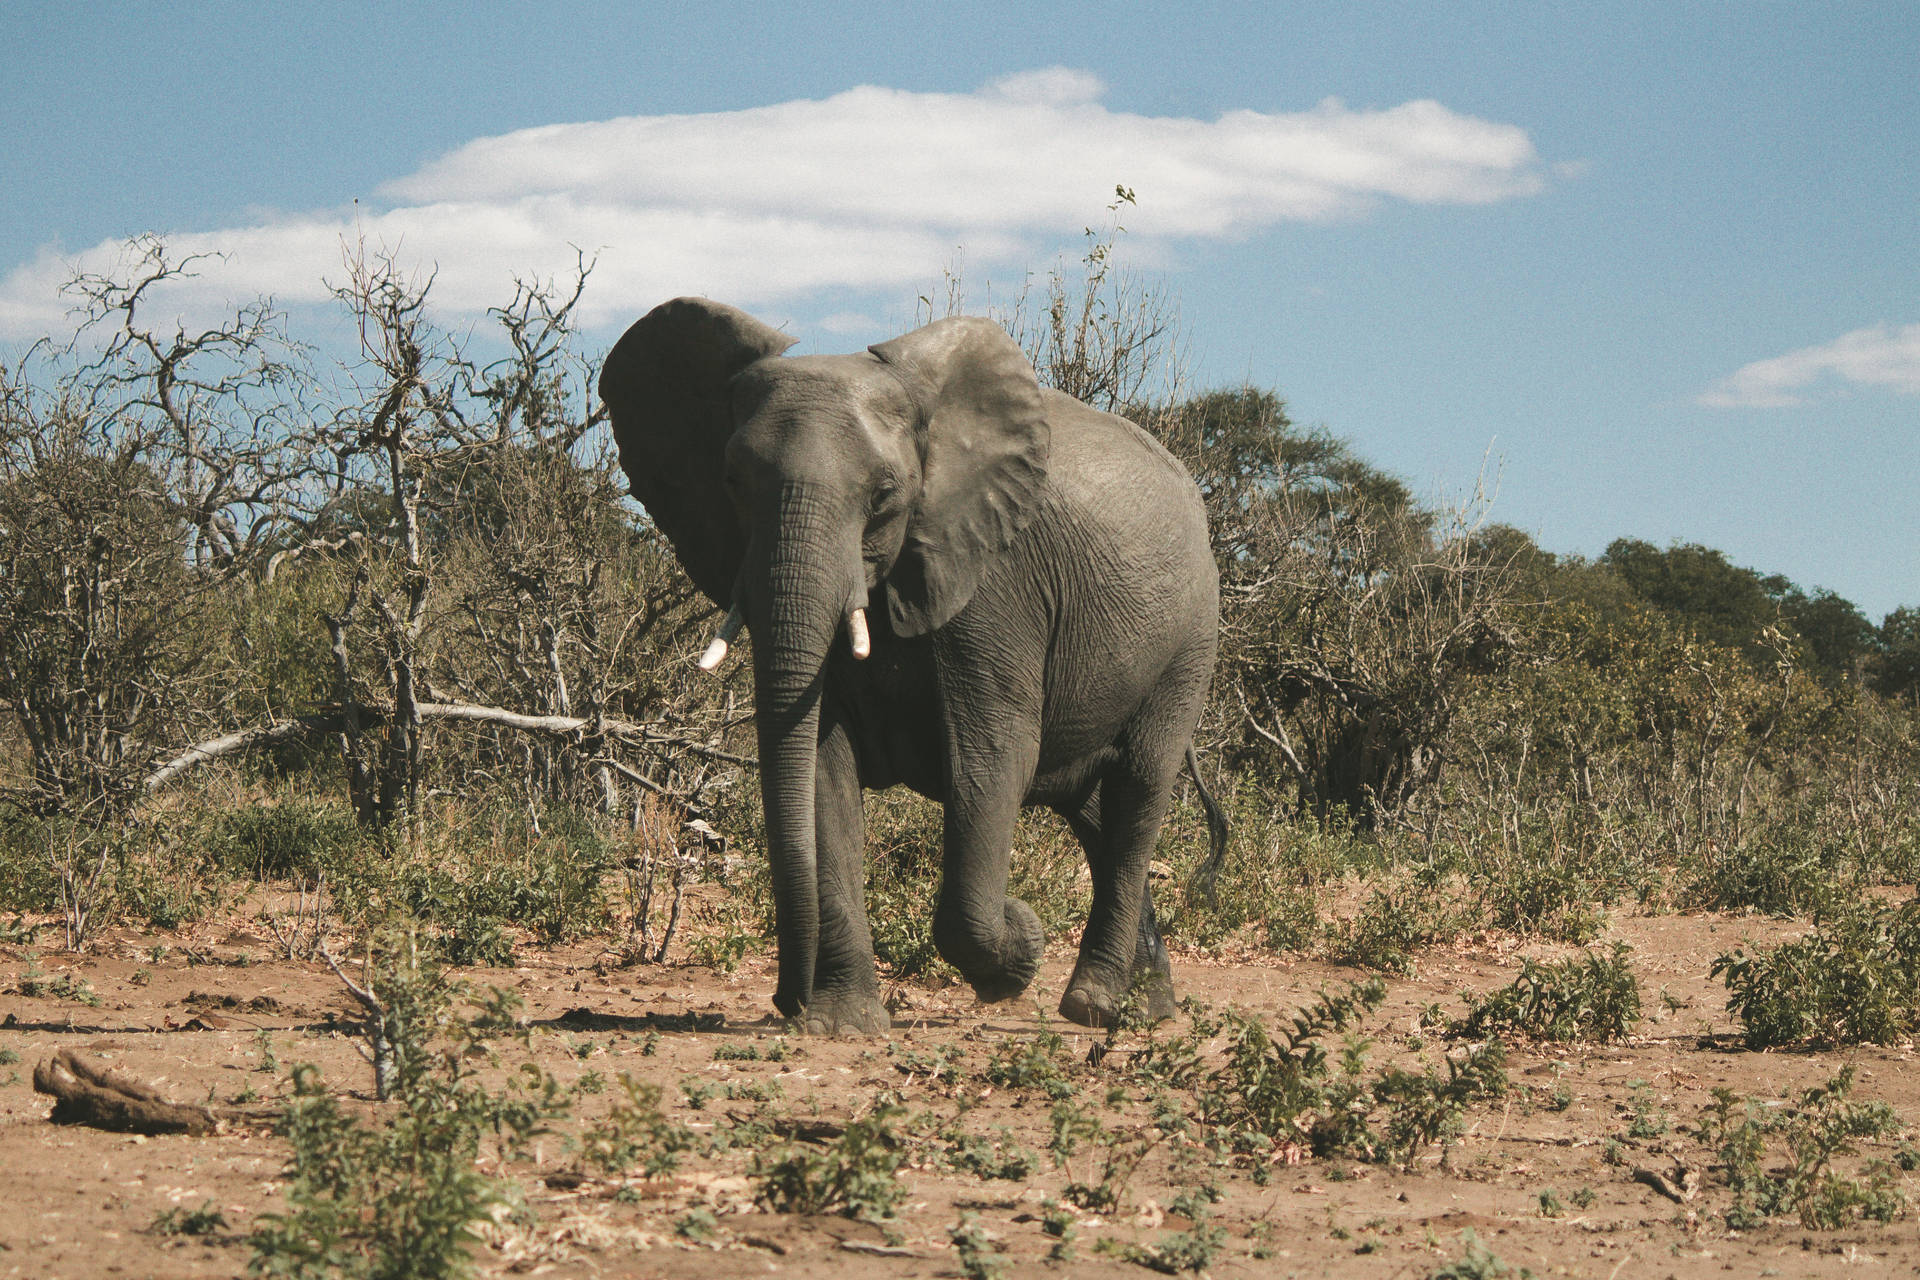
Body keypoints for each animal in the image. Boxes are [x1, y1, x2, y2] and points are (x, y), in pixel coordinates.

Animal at [599, 297, 1223, 1033]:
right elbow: (820, 764)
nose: (784, 999)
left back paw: (1092, 1005)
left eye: (884, 494)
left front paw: (1018, 951)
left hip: (1191, 636)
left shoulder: (994, 584)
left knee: (1139, 786)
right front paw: (841, 1025)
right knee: (1093, 807)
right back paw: (1146, 1008)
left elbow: (991, 759)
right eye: (732, 484)